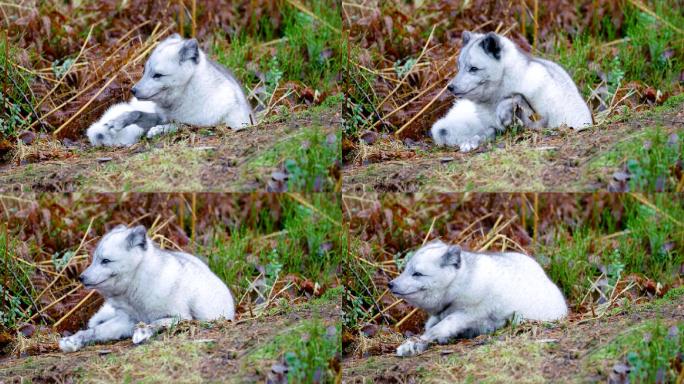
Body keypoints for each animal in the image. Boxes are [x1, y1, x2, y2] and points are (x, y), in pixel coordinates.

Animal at [58, 225, 235, 354]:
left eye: (105, 261)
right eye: (94, 259)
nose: (81, 278)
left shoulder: (181, 317)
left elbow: (155, 323)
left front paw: (142, 332)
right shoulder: (126, 320)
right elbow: (94, 331)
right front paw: (72, 340)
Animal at [390, 240, 568, 356]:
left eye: (417, 274)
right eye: (406, 269)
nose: (390, 284)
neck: (458, 286)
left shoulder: (467, 314)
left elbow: (436, 329)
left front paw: (413, 345)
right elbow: (430, 327)